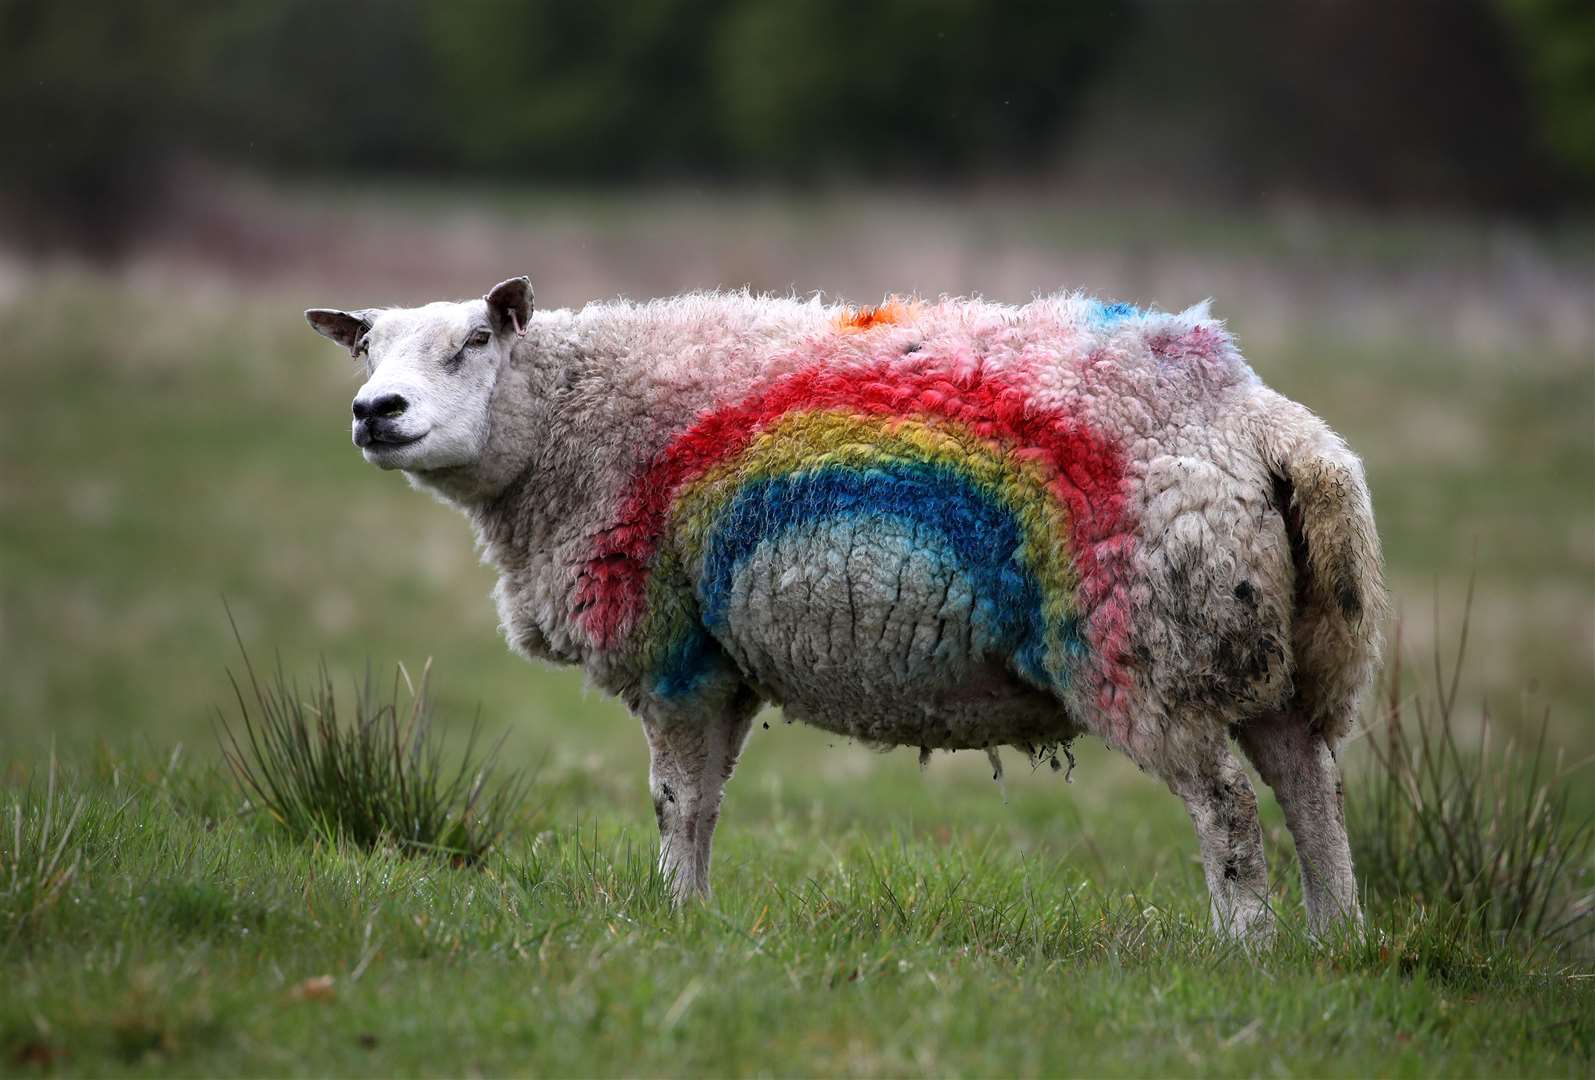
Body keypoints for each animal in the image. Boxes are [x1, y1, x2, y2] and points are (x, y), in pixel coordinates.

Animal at [307, 274, 1384, 938]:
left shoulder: (673, 649)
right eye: (364, 353)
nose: (375, 414)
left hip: (1153, 647)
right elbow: (705, 803)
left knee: (1228, 806)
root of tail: (1268, 425)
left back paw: (1244, 943)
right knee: (1310, 785)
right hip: (1268, 644)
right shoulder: (725, 660)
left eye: (475, 341)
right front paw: (695, 915)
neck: (564, 430)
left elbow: (672, 800)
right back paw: (1331, 940)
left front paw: (670, 914)